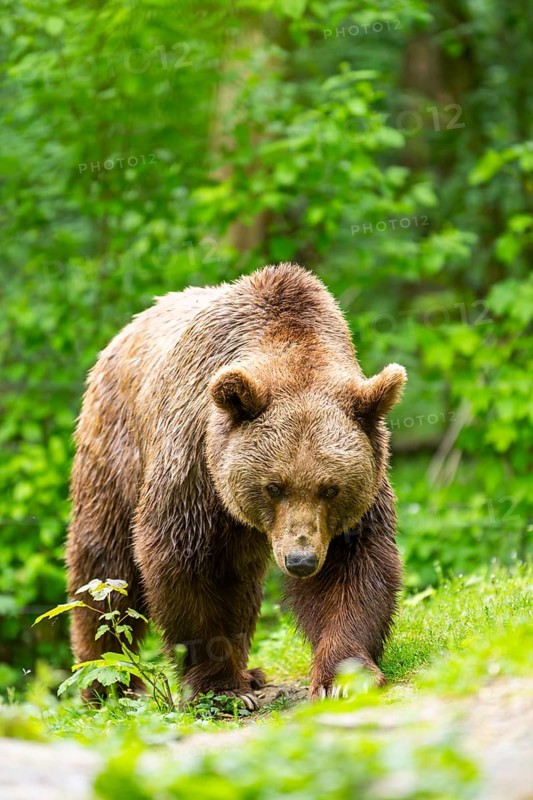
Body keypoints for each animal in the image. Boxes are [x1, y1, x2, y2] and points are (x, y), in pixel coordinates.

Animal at [66, 263, 406, 704]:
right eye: (274, 486)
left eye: (330, 488)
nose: (300, 561)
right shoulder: (195, 470)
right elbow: (186, 564)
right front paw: (220, 687)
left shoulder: (356, 496)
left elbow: (354, 566)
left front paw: (341, 678)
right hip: (115, 449)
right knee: (103, 568)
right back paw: (108, 683)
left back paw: (251, 673)